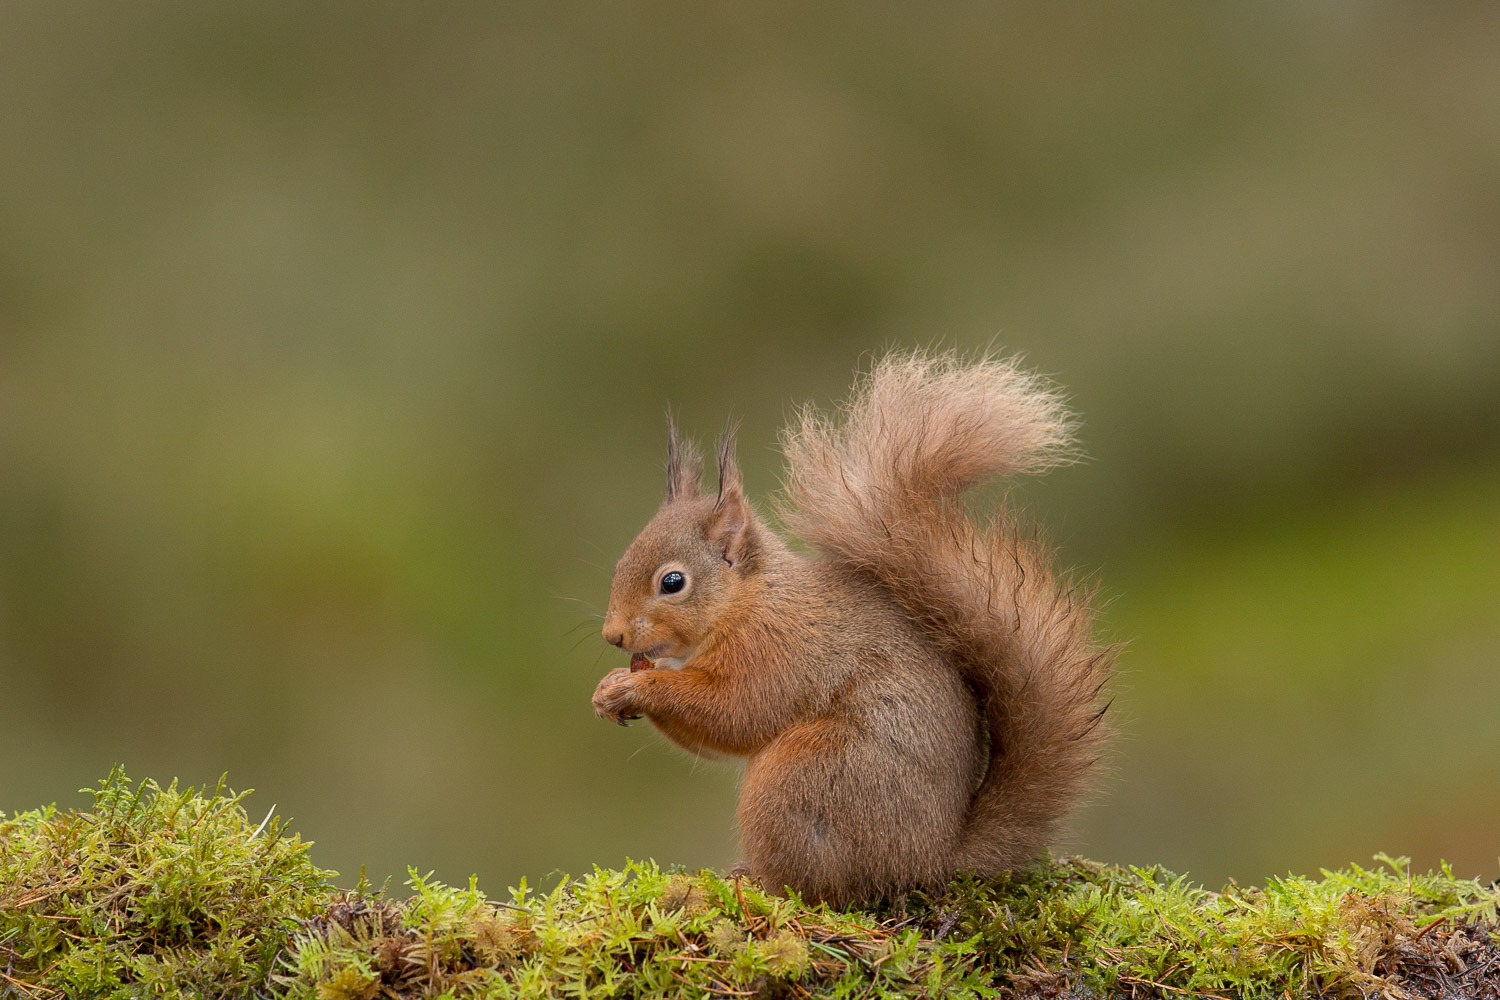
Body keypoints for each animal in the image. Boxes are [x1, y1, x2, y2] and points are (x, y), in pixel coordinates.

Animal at [591, 352, 1110, 905]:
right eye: (621, 561)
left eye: (673, 582)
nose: (613, 636)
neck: (747, 601)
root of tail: (932, 861)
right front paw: (608, 688)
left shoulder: (779, 646)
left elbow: (736, 711)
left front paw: (638, 687)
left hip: (805, 778)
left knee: (818, 886)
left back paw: (755, 882)